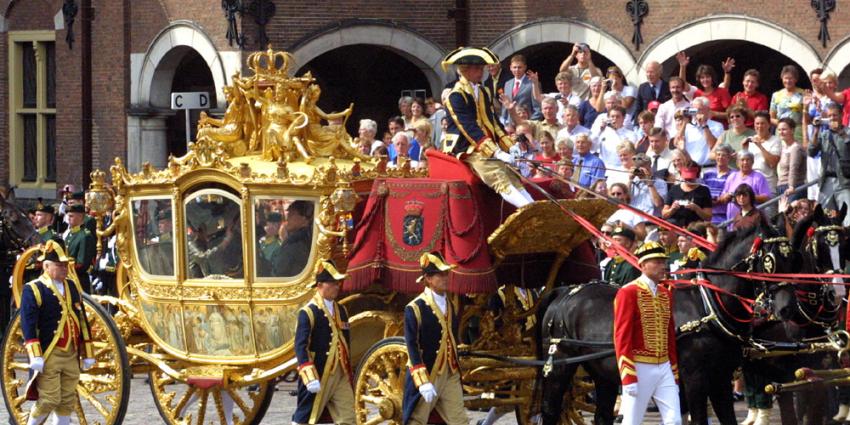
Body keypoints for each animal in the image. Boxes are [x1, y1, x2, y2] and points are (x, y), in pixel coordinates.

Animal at [540, 224, 800, 422]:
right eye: (770, 261)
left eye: (793, 260)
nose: (787, 308)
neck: (708, 306)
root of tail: (565, 291)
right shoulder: (695, 377)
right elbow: (698, 418)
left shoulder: (721, 377)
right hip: (559, 365)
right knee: (550, 411)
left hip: (603, 372)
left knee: (602, 415)